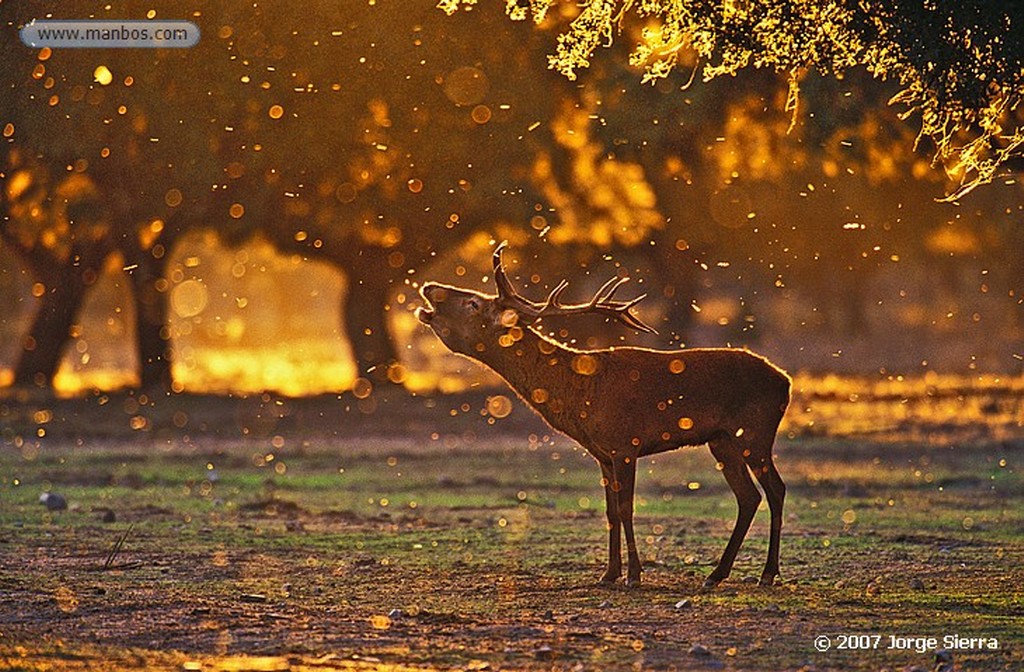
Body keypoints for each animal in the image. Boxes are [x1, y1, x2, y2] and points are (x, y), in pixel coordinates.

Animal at [415, 242, 790, 590]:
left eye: (473, 303)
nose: (429, 286)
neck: (582, 393)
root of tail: (786, 381)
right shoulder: (602, 454)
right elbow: (610, 512)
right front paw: (608, 574)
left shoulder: (625, 444)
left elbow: (626, 508)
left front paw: (634, 576)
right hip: (722, 440)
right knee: (748, 496)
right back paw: (716, 574)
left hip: (754, 432)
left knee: (775, 488)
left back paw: (767, 573)